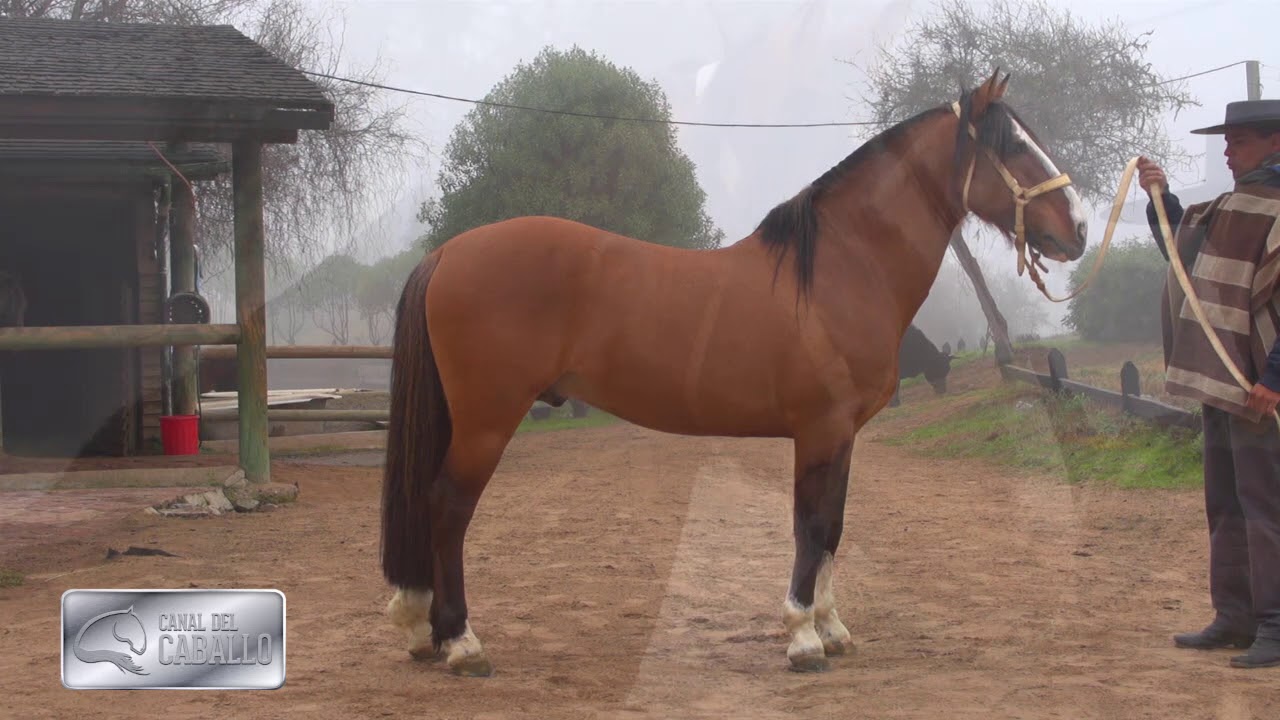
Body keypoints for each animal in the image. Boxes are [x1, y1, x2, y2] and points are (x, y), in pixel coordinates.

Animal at [380, 71, 1088, 676]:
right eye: (1015, 145)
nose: (1077, 229)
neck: (838, 271)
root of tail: (447, 253)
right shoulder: (820, 429)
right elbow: (809, 526)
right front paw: (803, 639)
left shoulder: (844, 437)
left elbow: (833, 526)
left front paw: (832, 629)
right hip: (486, 420)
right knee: (447, 508)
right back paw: (462, 643)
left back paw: (420, 631)